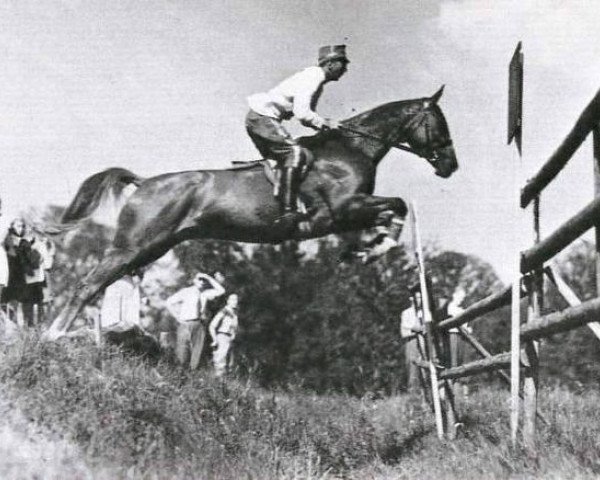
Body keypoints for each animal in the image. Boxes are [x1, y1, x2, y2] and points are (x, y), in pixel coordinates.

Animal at [44, 87, 458, 342]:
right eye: (439, 122)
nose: (450, 166)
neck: (350, 149)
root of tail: (144, 183)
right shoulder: (341, 210)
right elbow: (397, 204)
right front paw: (374, 249)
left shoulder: (349, 213)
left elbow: (392, 209)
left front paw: (364, 250)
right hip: (133, 246)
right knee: (88, 284)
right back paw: (54, 334)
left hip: (152, 248)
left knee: (103, 283)